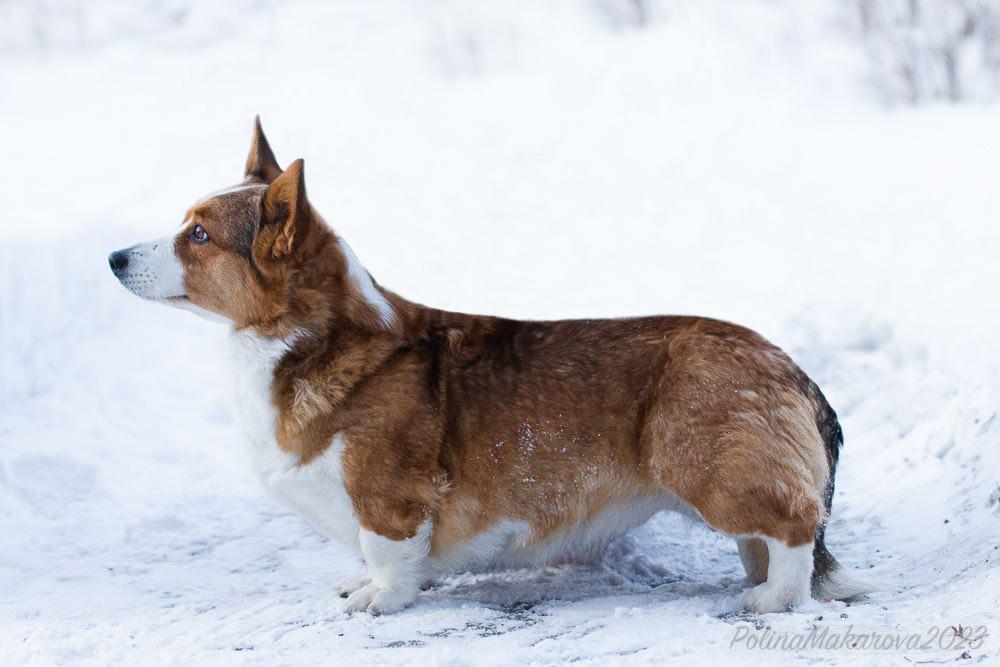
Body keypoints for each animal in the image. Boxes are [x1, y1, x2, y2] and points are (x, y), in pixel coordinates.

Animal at [111, 118, 876, 616]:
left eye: (199, 235)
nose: (113, 257)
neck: (308, 339)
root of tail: (790, 368)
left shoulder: (388, 502)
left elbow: (387, 556)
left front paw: (377, 601)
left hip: (707, 465)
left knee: (794, 530)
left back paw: (769, 599)